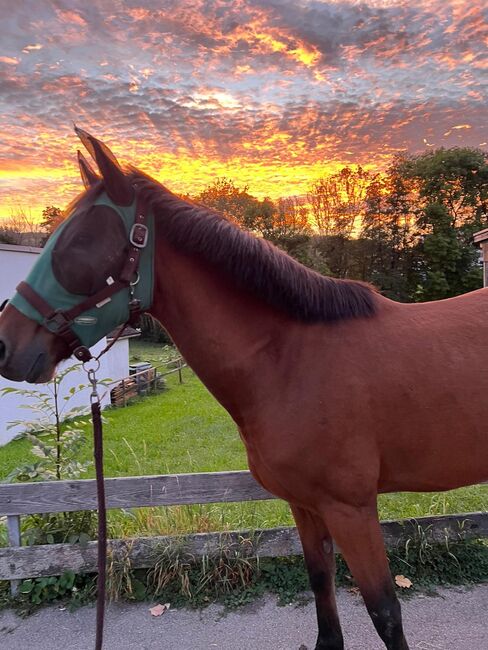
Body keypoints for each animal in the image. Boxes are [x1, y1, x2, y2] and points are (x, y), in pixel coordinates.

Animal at [0, 128, 488, 648]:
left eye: (78, 242)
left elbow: (385, 612)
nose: (6, 344)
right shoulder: (305, 506)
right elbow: (322, 590)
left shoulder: (351, 509)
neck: (288, 358)